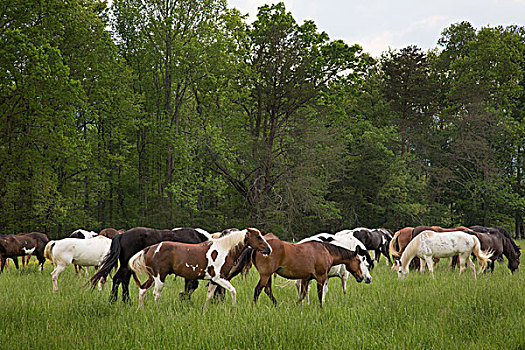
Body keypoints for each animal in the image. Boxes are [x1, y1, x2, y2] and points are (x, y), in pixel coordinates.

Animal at [127, 227, 270, 306]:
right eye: (258, 237)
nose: (269, 249)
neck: (223, 249)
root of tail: (151, 248)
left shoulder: (213, 280)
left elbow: (209, 296)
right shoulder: (219, 278)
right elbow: (233, 291)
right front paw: (234, 310)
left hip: (153, 277)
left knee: (142, 290)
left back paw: (140, 309)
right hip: (159, 278)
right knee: (156, 294)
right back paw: (159, 311)